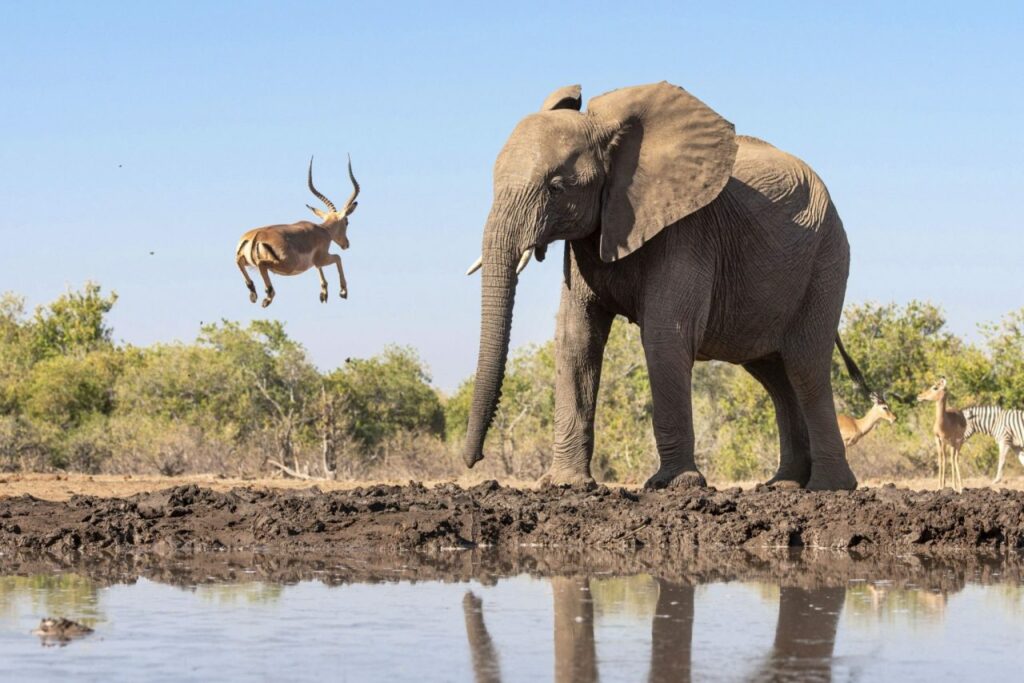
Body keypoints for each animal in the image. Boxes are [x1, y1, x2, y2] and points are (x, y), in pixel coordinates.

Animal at [235, 157, 360, 307]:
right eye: (346, 222)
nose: (346, 244)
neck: (323, 230)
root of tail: (256, 236)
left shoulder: (317, 262)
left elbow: (320, 269)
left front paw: (324, 293)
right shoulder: (322, 257)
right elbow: (338, 257)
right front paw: (343, 291)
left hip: (249, 261)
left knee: (239, 262)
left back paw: (254, 294)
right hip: (285, 265)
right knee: (261, 264)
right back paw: (267, 297)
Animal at [464, 81, 864, 491]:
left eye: (557, 187)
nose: (474, 460)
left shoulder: (687, 230)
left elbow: (665, 336)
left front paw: (673, 484)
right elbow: (576, 338)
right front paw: (566, 484)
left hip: (827, 259)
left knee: (805, 366)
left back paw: (829, 487)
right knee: (774, 374)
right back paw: (783, 485)